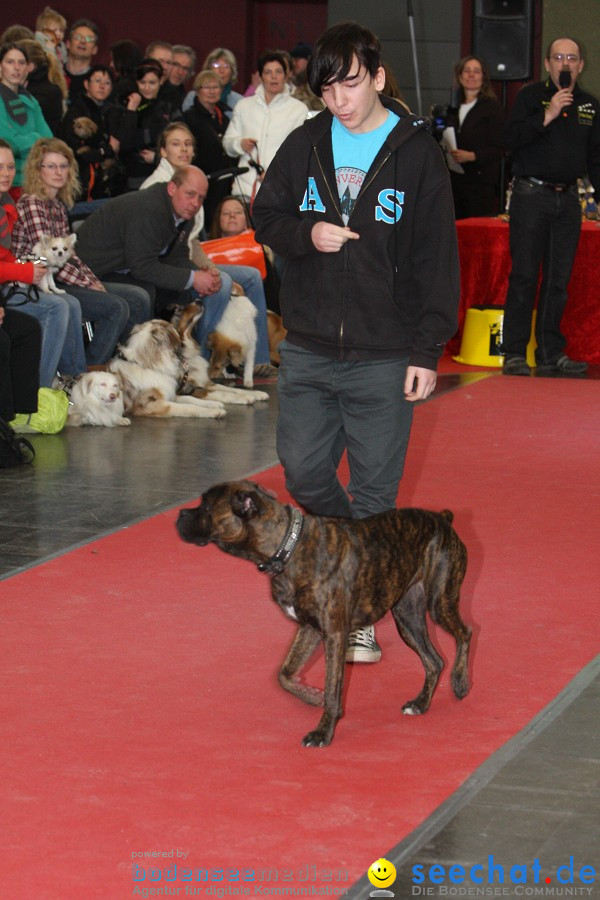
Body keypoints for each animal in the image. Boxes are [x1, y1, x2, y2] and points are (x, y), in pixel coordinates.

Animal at [176, 482, 472, 748]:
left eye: (206, 506)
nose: (180, 514)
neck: (287, 548)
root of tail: (442, 518)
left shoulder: (334, 635)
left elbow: (332, 688)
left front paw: (323, 732)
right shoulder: (309, 629)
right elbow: (284, 673)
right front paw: (312, 696)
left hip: (439, 604)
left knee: (465, 633)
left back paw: (460, 683)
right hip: (407, 617)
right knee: (434, 660)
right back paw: (421, 703)